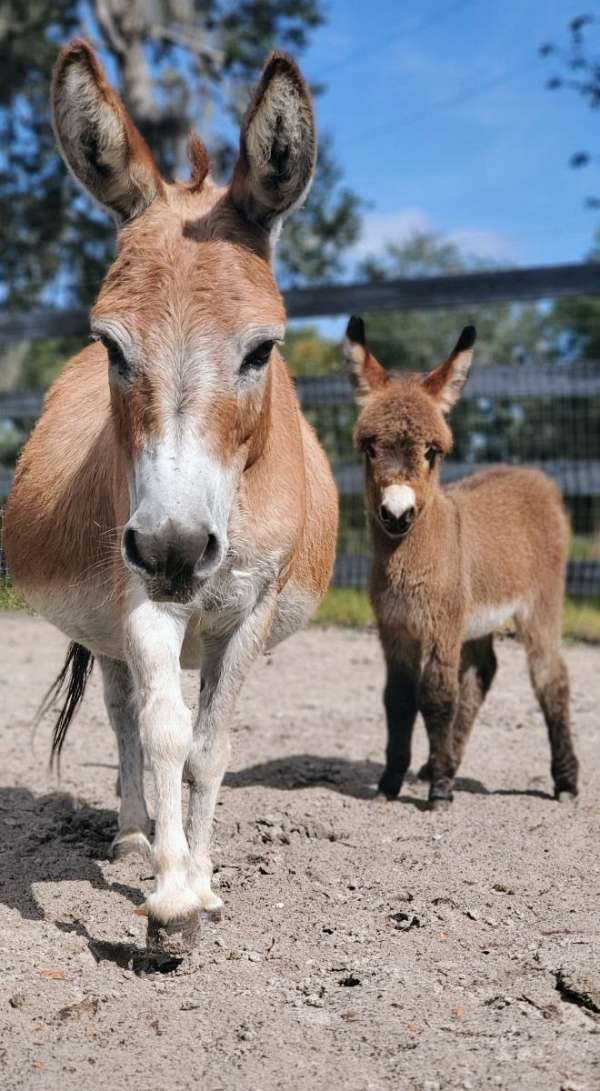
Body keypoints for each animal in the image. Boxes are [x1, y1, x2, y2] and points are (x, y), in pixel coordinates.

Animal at [344, 316, 580, 811]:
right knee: (482, 674)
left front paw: (439, 794)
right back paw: (442, 762)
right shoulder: (394, 628)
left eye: (433, 452)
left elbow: (436, 697)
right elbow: (398, 700)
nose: (397, 515)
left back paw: (565, 781)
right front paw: (391, 783)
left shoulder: (440, 625)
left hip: (539, 605)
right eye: (370, 449)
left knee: (550, 677)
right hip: (476, 619)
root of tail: (535, 476)